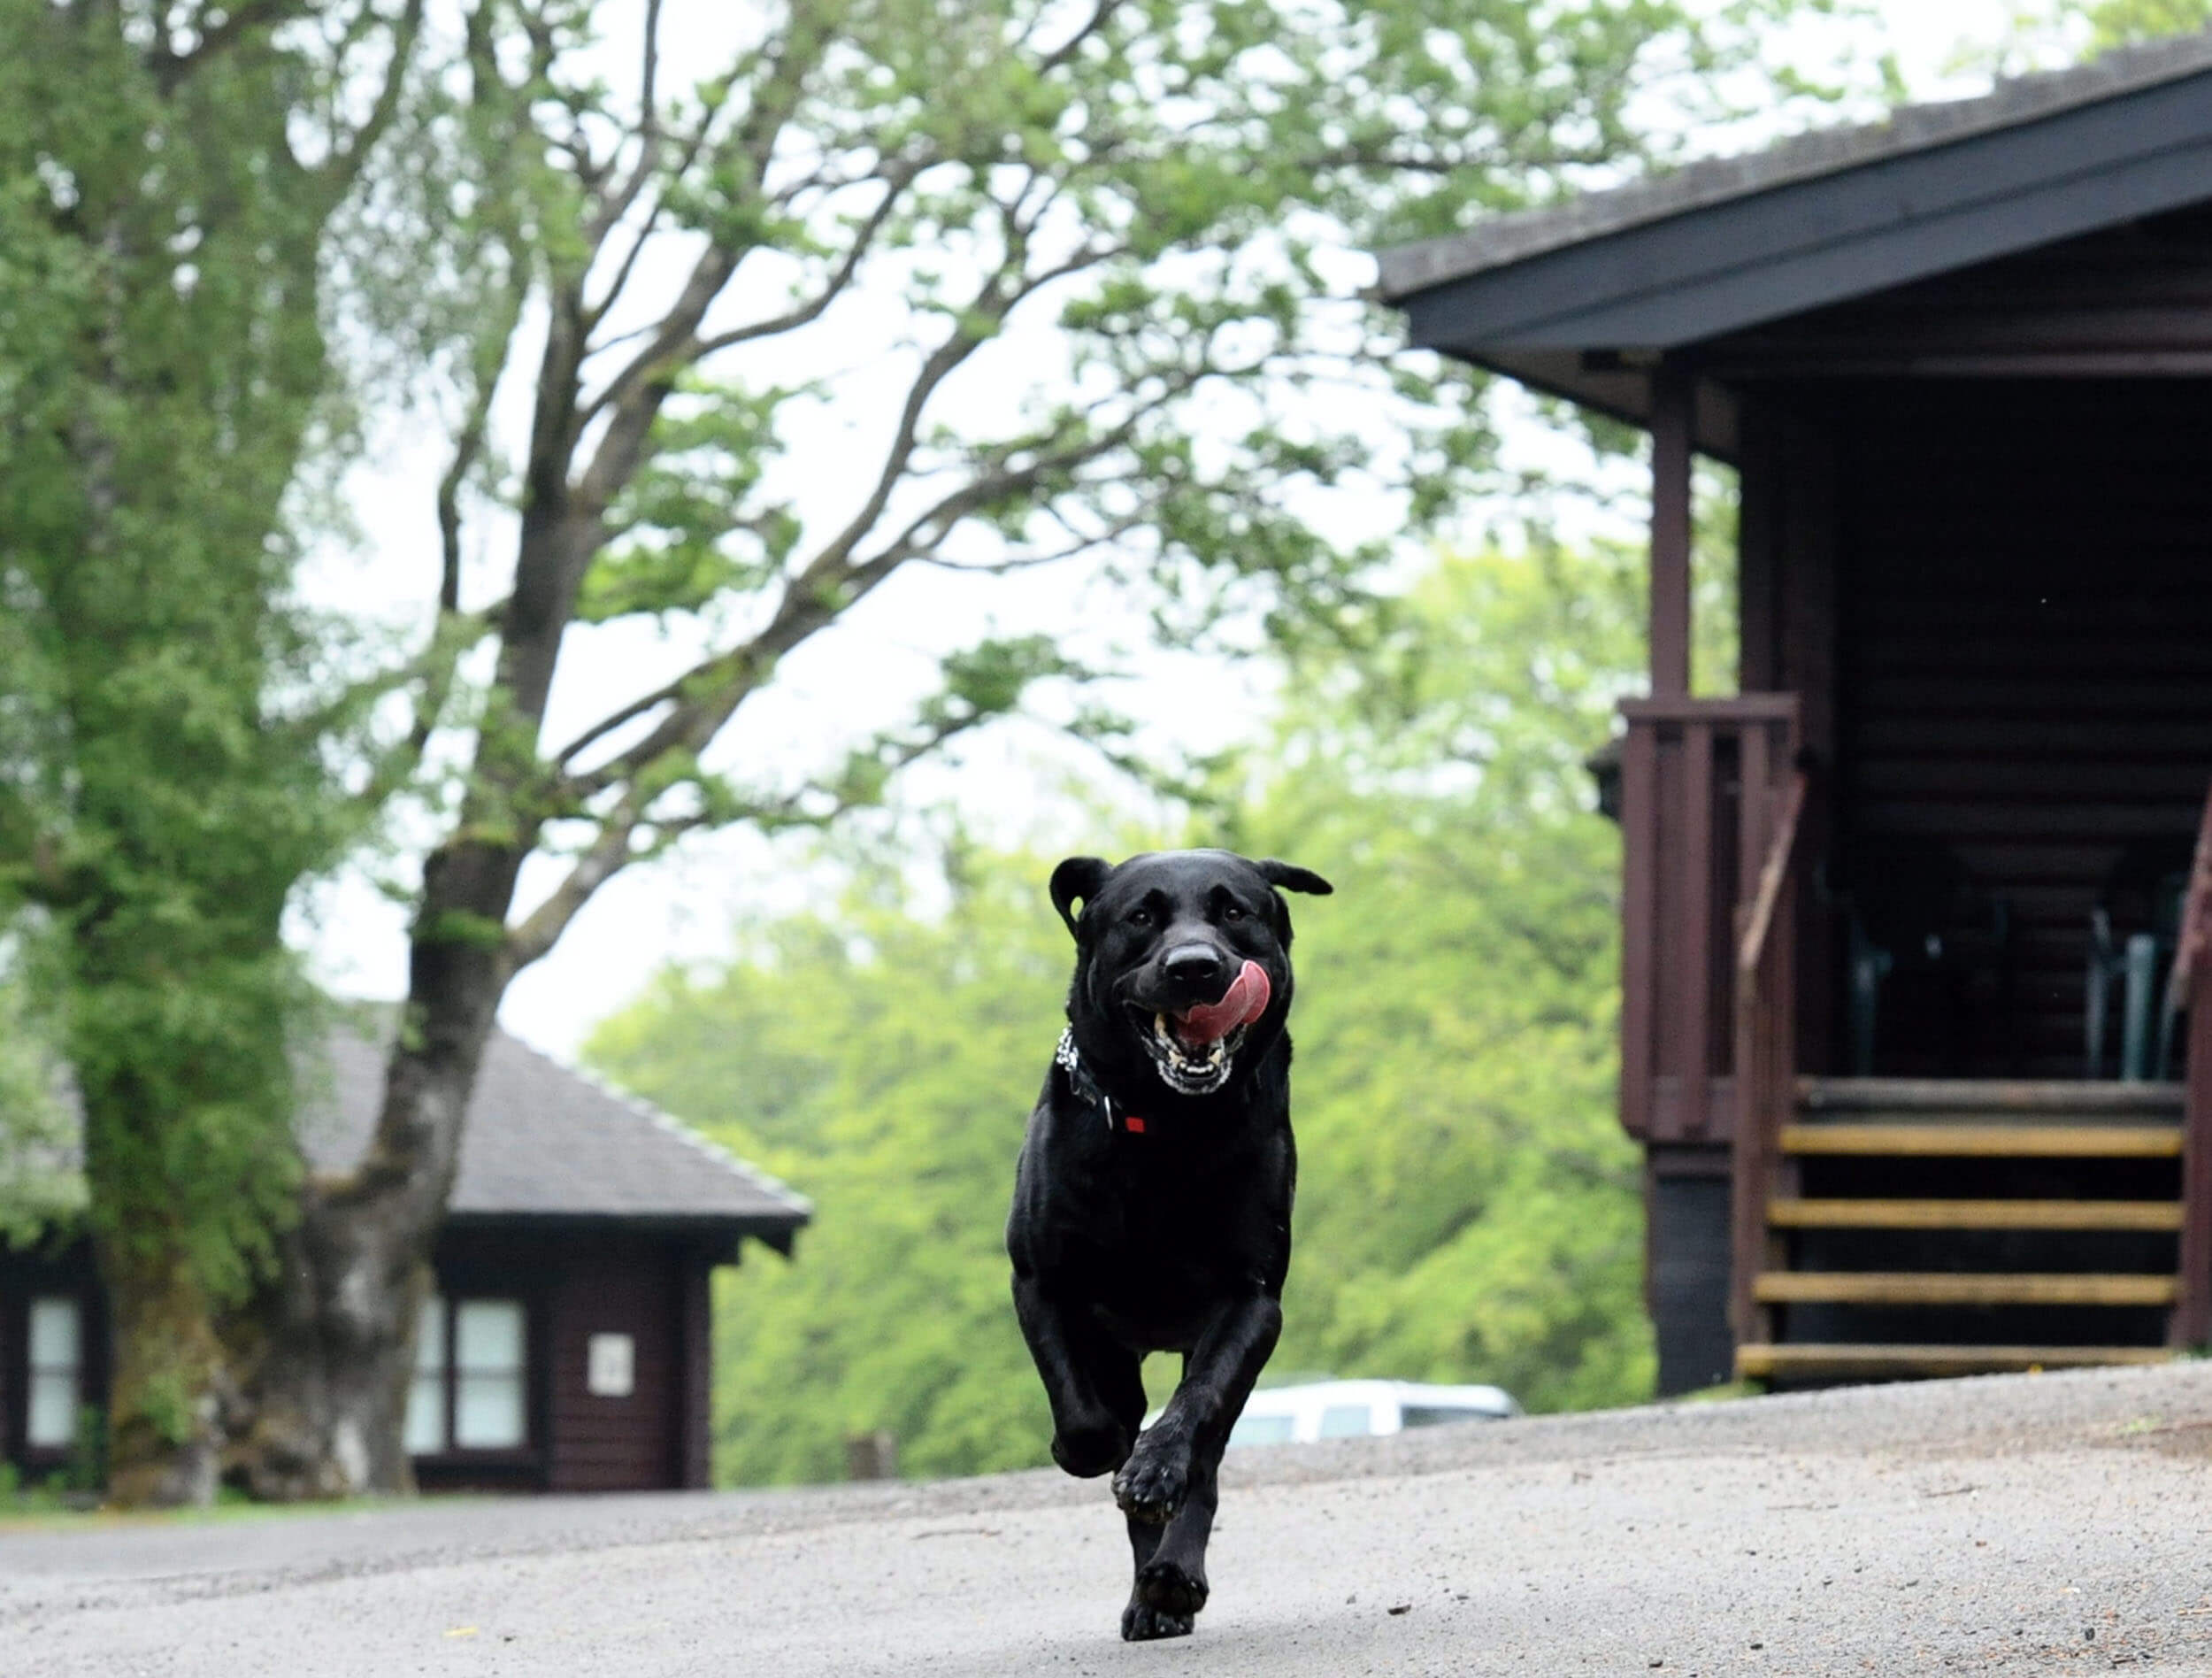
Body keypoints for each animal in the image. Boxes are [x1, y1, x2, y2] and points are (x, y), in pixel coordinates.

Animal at [1004, 845, 1327, 1637]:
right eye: (1141, 917)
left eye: (1234, 911)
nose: (1195, 968)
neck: (1167, 1128)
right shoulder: (1041, 1282)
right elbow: (1087, 1416)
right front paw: (1087, 1450)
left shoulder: (1251, 1301)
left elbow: (1198, 1406)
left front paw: (1155, 1473)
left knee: (1205, 1455)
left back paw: (1171, 1579)